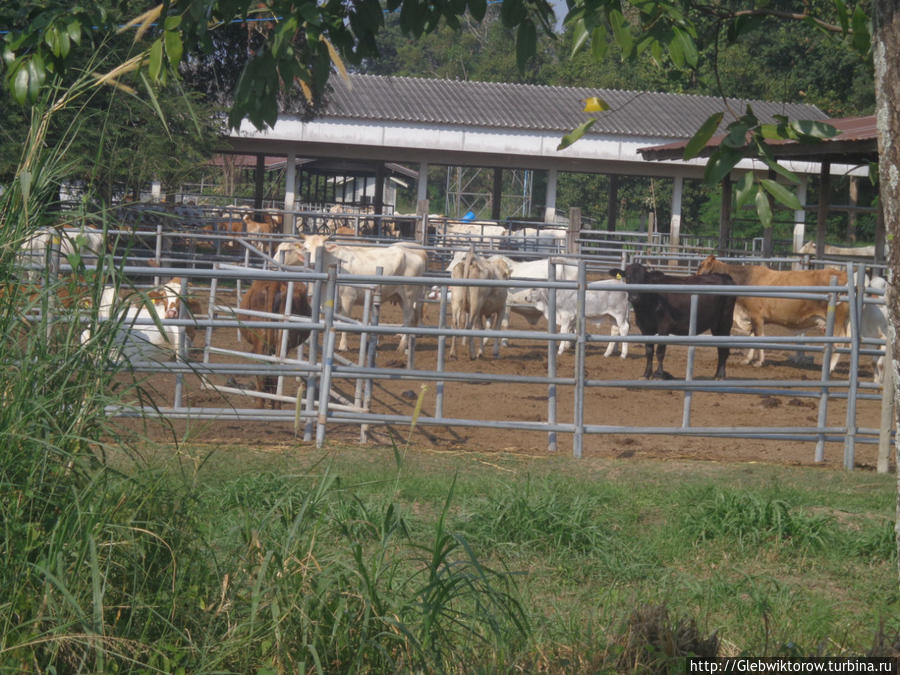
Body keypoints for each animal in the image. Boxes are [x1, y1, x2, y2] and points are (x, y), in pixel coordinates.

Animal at [276, 234, 428, 352]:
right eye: (306, 248)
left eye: (322, 248)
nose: (313, 264)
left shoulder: (348, 298)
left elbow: (344, 319)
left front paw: (343, 345)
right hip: (400, 296)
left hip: (408, 295)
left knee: (408, 316)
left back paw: (401, 345)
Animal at [608, 262, 736, 380]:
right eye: (628, 276)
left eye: (644, 278)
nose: (634, 298)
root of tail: (724, 276)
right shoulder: (645, 328)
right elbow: (649, 351)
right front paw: (646, 374)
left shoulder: (664, 326)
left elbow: (660, 352)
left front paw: (659, 375)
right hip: (716, 325)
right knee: (720, 348)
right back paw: (716, 375)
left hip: (725, 321)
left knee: (724, 350)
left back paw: (721, 376)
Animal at [696, 255, 852, 372]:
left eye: (700, 266)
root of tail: (843, 274)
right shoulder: (753, 317)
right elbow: (752, 336)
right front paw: (746, 360)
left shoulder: (757, 316)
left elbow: (759, 337)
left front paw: (759, 362)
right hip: (845, 321)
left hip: (837, 320)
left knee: (840, 342)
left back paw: (829, 367)